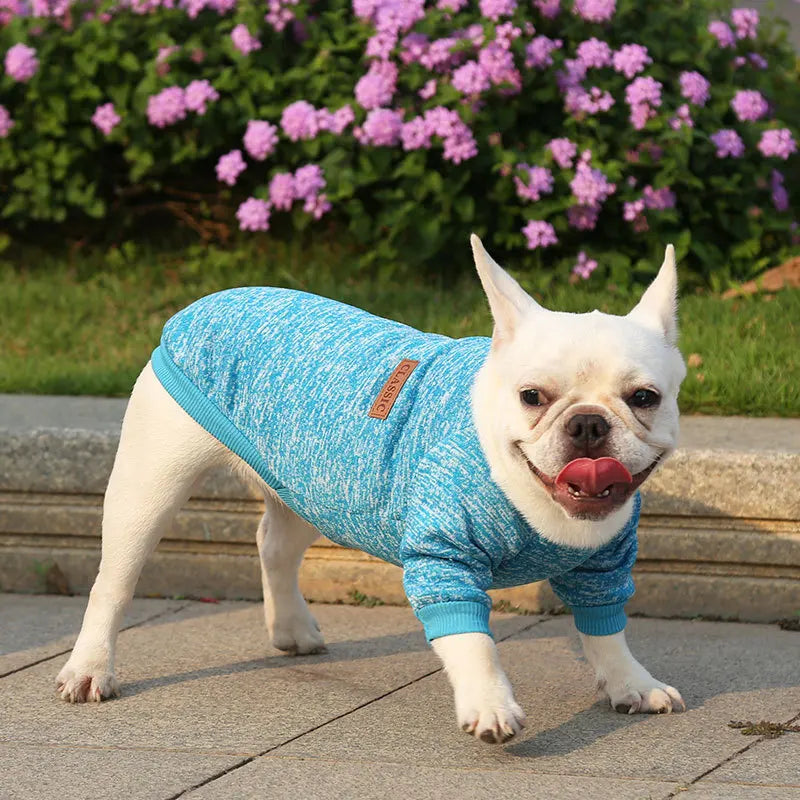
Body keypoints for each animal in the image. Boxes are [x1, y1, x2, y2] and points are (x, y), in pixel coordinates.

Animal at [56, 236, 684, 744]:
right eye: (533, 396)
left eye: (644, 398)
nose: (588, 424)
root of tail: (203, 304)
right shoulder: (442, 559)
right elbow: (472, 641)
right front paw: (489, 706)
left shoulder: (603, 562)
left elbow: (607, 627)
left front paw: (631, 682)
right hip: (151, 482)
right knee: (113, 581)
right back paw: (90, 669)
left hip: (311, 482)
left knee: (274, 547)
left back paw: (291, 629)